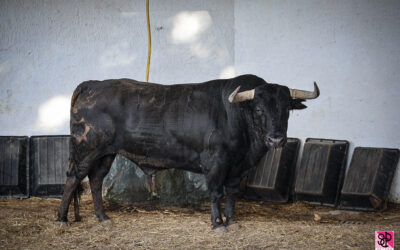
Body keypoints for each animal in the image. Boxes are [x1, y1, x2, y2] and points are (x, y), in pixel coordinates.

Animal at [55, 74, 318, 232]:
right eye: (259, 109)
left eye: (286, 109)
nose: (276, 138)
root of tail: (93, 84)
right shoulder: (215, 162)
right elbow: (216, 193)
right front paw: (218, 224)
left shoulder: (238, 168)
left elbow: (232, 194)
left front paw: (232, 220)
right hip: (86, 149)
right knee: (73, 178)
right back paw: (61, 219)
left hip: (106, 153)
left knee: (96, 180)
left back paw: (103, 217)